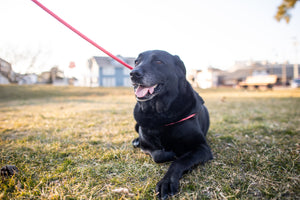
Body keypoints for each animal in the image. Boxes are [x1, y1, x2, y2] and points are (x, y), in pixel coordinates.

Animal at [130, 49, 212, 198]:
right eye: (136, 62)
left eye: (158, 61)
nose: (133, 73)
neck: (160, 113)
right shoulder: (146, 146)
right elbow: (159, 155)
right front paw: (171, 153)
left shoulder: (202, 148)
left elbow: (179, 161)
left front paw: (167, 182)